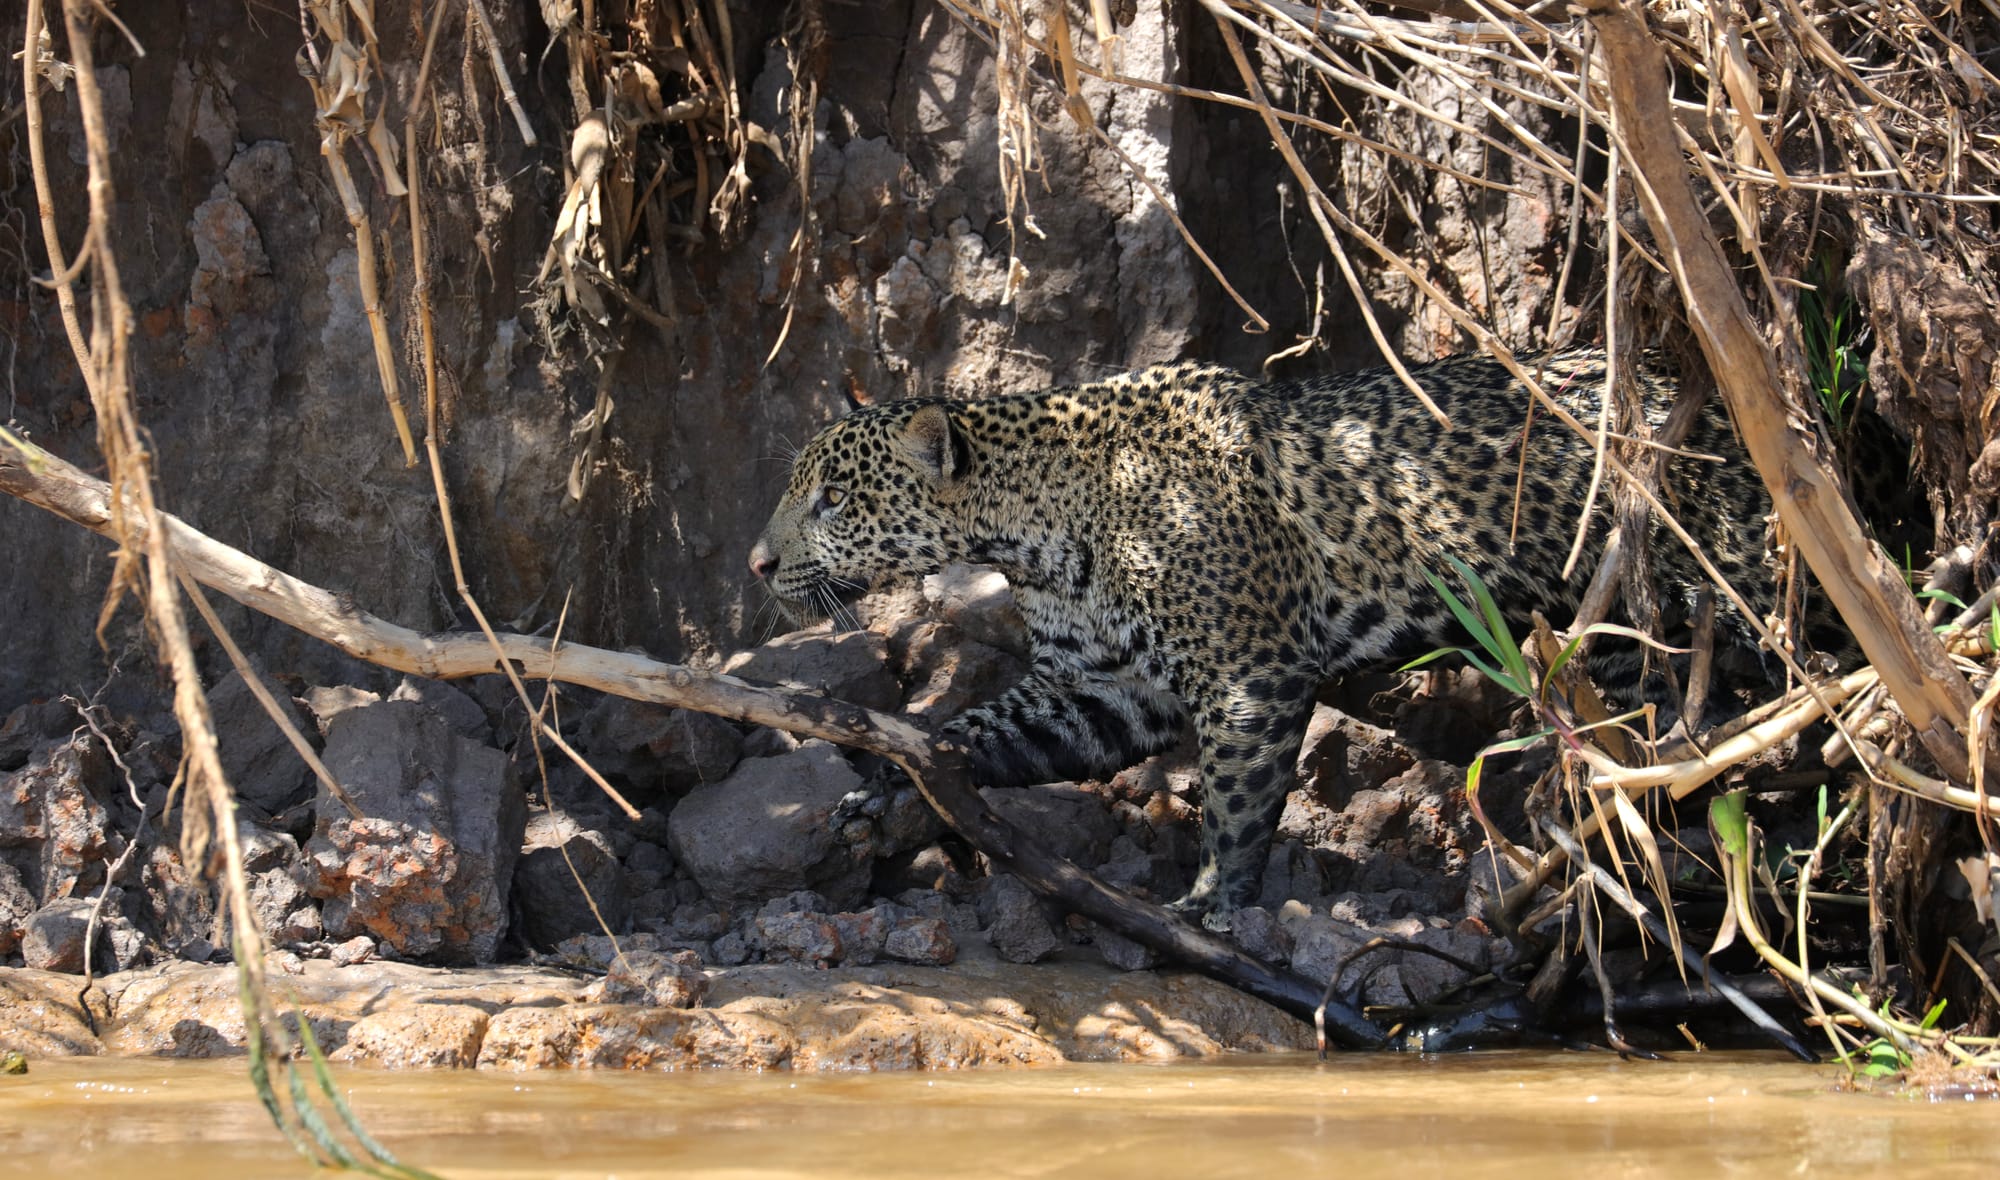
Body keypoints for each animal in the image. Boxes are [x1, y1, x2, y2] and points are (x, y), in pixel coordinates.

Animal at [747, 348, 1827, 930]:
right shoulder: (1095, 695)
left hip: (1742, 562)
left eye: (832, 497)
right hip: (1607, 635)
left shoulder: (1248, 674)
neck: (1036, 531)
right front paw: (885, 798)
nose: (757, 564)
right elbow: (967, 732)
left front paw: (1212, 906)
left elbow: (1235, 798)